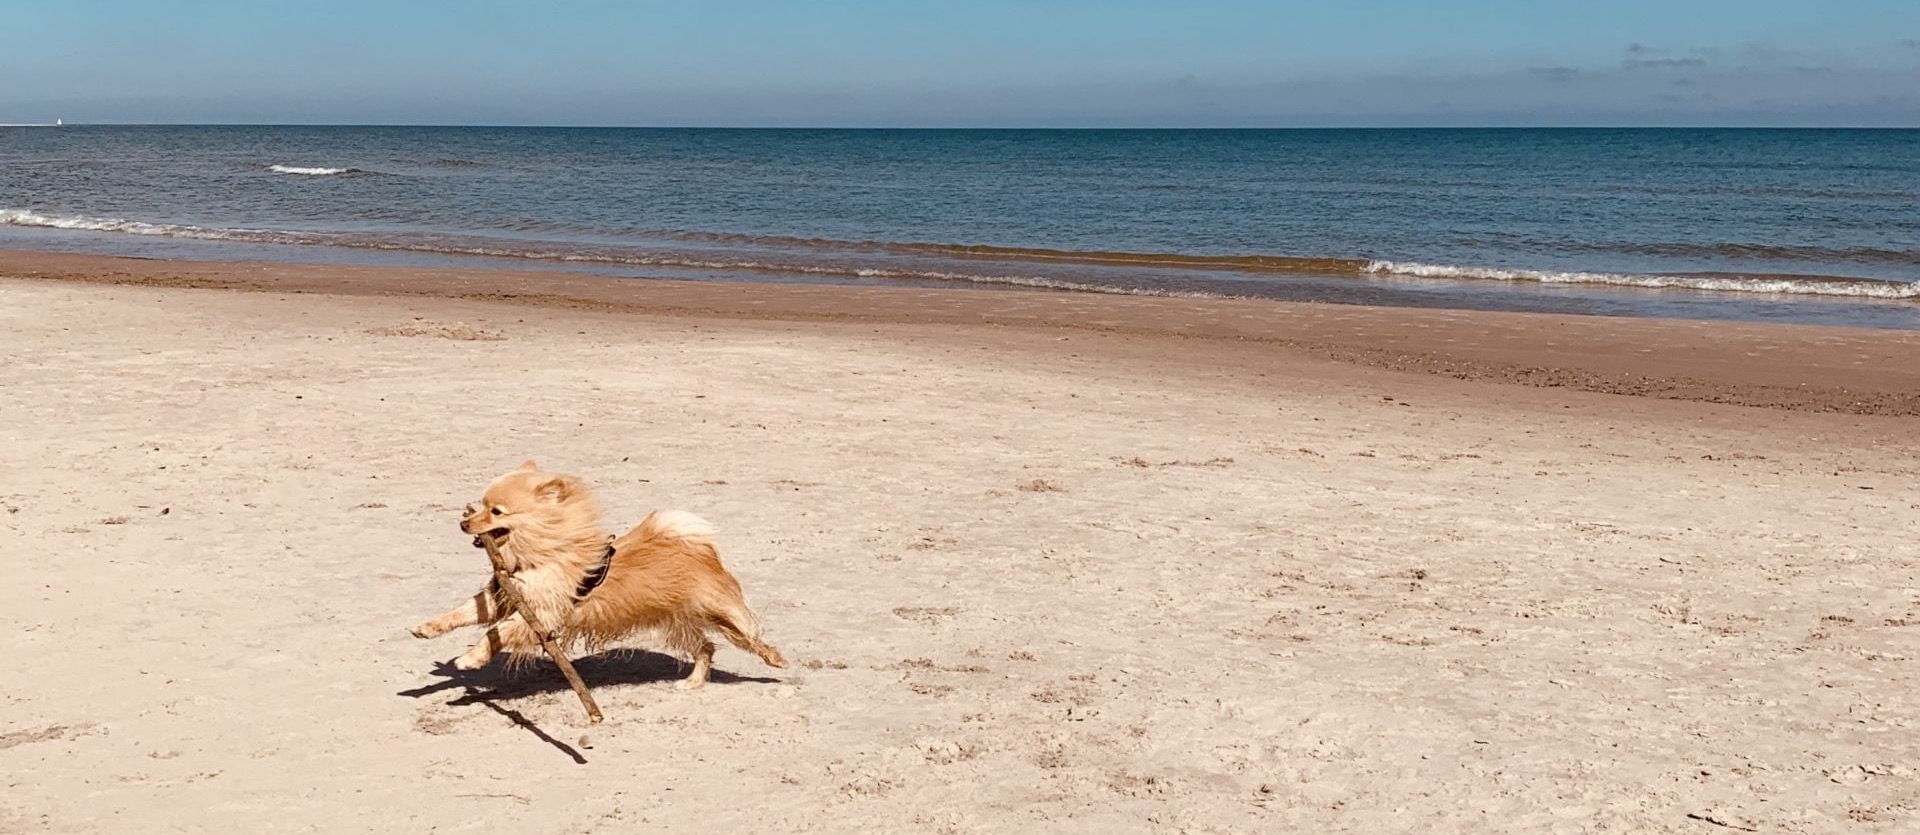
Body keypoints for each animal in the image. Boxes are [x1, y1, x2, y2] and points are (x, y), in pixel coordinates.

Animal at [412, 460, 787, 691]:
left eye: (496, 512)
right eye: (480, 505)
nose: (463, 523)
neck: (542, 552)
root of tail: (698, 549)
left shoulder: (540, 614)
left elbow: (495, 633)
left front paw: (470, 659)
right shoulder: (502, 597)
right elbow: (462, 613)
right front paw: (428, 628)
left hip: (720, 614)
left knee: (750, 635)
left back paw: (775, 659)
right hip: (678, 623)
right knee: (705, 647)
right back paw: (693, 682)